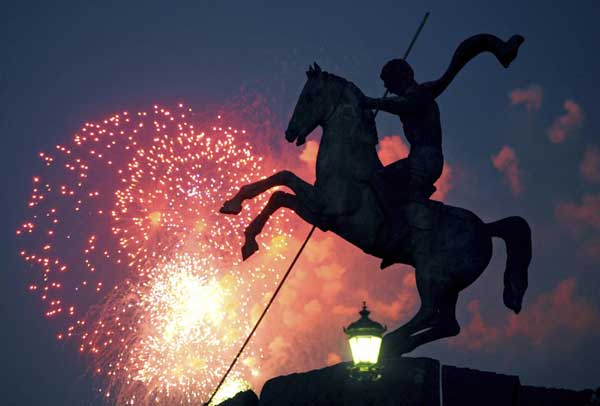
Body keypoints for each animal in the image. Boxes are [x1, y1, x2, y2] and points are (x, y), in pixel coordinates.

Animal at [219, 63, 528, 356]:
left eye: (310, 96)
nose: (290, 132)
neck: (349, 167)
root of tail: (486, 228)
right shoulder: (318, 213)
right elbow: (281, 187)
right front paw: (238, 216)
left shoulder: (325, 208)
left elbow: (282, 186)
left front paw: (246, 232)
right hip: (449, 284)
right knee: (447, 324)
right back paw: (401, 345)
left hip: (431, 275)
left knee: (430, 313)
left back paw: (391, 342)